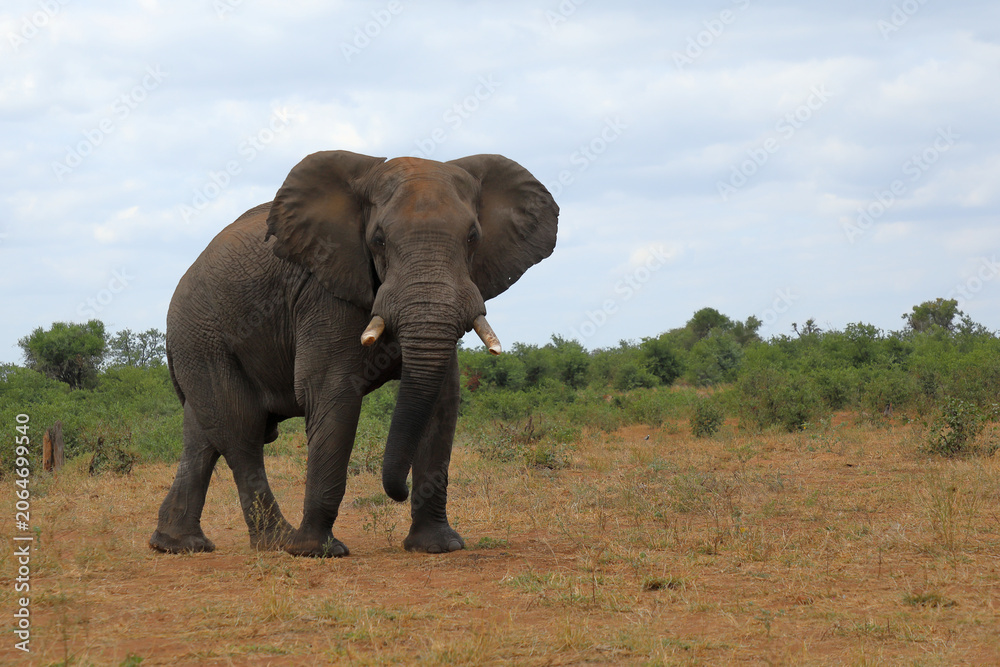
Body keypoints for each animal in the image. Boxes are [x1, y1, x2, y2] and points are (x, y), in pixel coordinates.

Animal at [149, 150, 558, 557]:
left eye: (473, 237)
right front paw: (317, 551)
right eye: (378, 240)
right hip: (204, 338)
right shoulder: (323, 293)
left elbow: (442, 399)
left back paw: (179, 545)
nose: (399, 491)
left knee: (202, 436)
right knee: (241, 432)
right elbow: (332, 392)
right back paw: (278, 543)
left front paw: (439, 547)